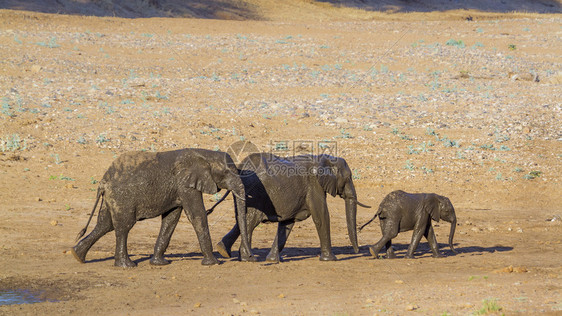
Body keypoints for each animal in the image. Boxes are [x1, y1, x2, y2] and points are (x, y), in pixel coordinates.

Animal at [70, 149, 254, 268]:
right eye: (227, 173)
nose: (251, 257)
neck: (205, 155)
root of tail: (102, 183)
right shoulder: (185, 184)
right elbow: (197, 216)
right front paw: (213, 263)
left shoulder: (178, 190)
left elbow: (171, 219)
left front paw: (160, 263)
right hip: (122, 198)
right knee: (123, 227)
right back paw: (126, 265)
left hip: (111, 199)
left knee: (104, 225)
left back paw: (77, 256)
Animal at [206, 153, 368, 262]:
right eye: (348, 178)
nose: (357, 251)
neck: (324, 158)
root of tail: (240, 167)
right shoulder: (314, 186)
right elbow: (321, 217)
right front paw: (331, 260)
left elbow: (287, 224)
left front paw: (273, 260)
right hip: (255, 193)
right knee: (250, 221)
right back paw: (246, 258)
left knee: (241, 220)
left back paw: (224, 251)